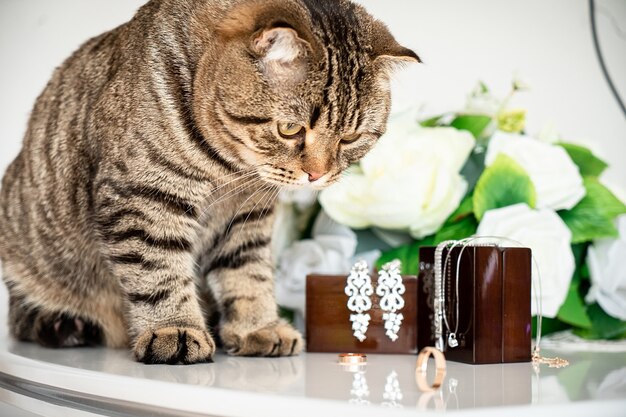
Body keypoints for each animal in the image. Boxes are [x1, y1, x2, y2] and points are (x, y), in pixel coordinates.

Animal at [1, 0, 420, 364]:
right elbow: (159, 271)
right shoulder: (144, 199)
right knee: (25, 316)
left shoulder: (248, 217)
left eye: (350, 138)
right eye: (290, 129)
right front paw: (174, 329)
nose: (317, 174)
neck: (227, 169)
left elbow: (249, 274)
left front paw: (258, 326)